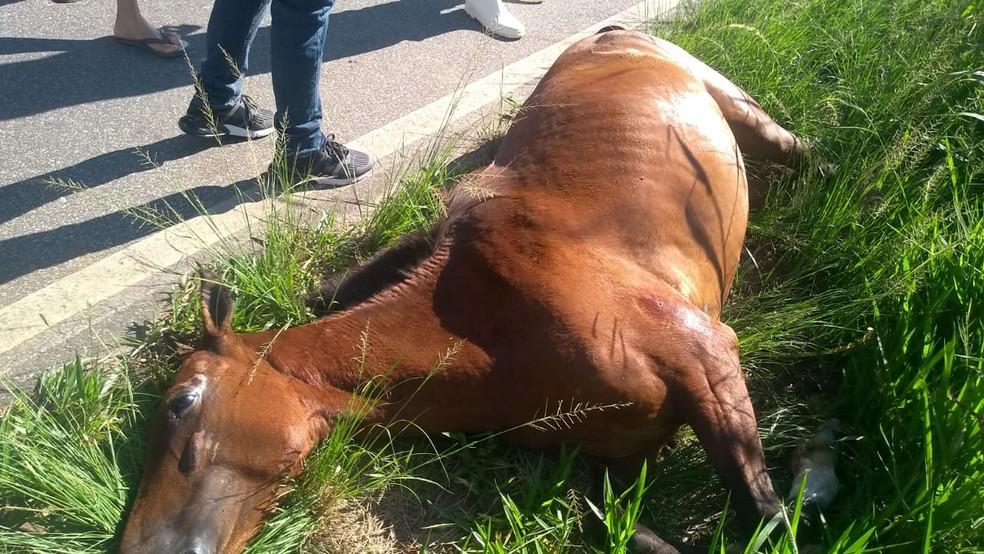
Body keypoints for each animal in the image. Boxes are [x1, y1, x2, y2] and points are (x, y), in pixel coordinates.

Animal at [119, 30, 808, 552]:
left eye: (181, 402)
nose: (137, 547)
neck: (491, 326)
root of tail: (609, 33)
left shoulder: (705, 356)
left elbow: (767, 516)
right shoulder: (611, 461)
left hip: (744, 115)